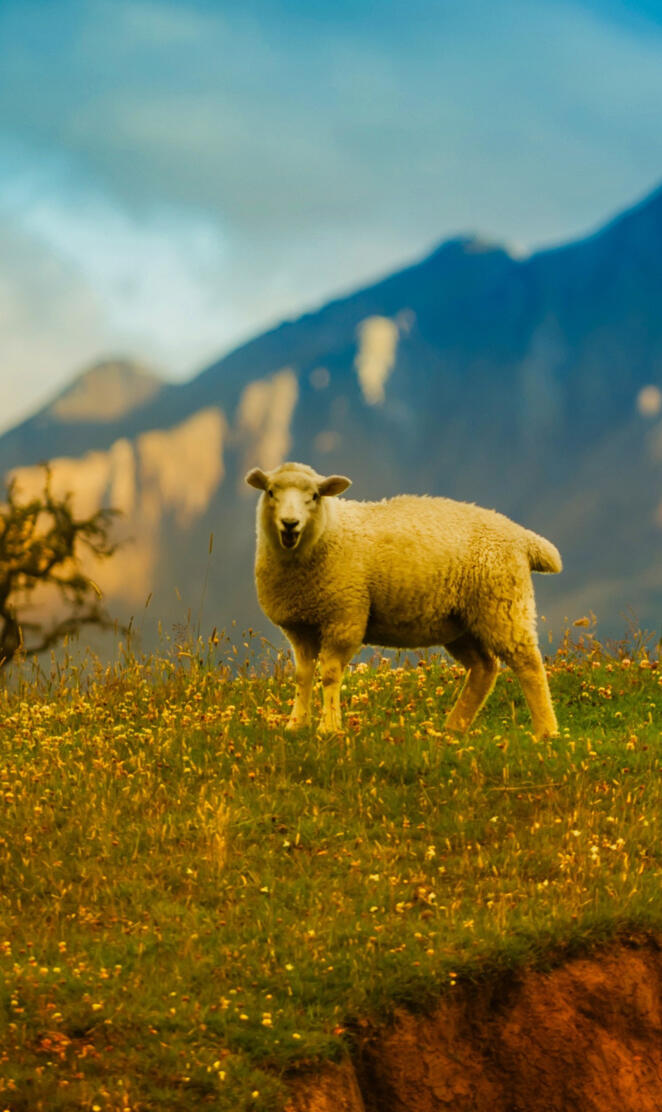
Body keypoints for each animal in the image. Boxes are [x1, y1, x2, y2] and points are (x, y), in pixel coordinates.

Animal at [246, 462, 562, 740]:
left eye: (314, 496)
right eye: (271, 492)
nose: (290, 524)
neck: (328, 532)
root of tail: (522, 537)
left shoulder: (344, 617)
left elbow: (331, 675)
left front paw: (329, 727)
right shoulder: (299, 626)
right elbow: (303, 675)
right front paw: (296, 725)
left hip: (502, 605)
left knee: (528, 664)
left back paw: (546, 731)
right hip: (461, 621)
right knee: (484, 668)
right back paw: (454, 727)